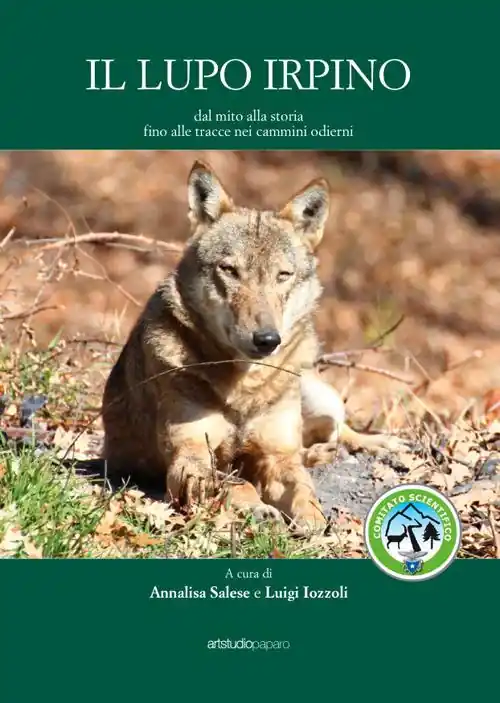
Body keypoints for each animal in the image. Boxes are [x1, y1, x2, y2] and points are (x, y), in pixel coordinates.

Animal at [101, 160, 405, 533]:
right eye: (230, 271)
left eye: (283, 275)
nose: (267, 339)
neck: (245, 387)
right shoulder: (189, 455)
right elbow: (236, 481)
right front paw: (258, 508)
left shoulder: (277, 454)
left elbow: (303, 490)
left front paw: (315, 521)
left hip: (318, 395)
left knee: (335, 430)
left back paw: (376, 444)